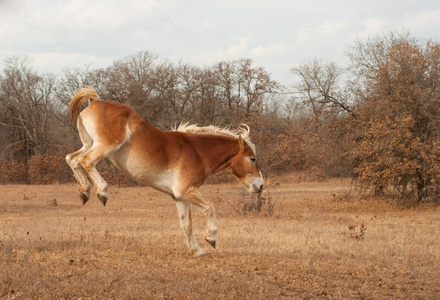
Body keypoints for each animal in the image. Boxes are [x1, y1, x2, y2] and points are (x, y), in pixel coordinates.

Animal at [65, 86, 264, 255]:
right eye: (252, 159)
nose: (260, 186)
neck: (197, 152)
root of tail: (94, 102)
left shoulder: (179, 197)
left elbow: (186, 225)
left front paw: (197, 251)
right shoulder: (187, 191)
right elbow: (209, 207)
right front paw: (211, 238)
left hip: (89, 144)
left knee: (72, 159)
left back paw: (84, 192)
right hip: (105, 146)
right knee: (85, 161)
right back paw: (102, 192)